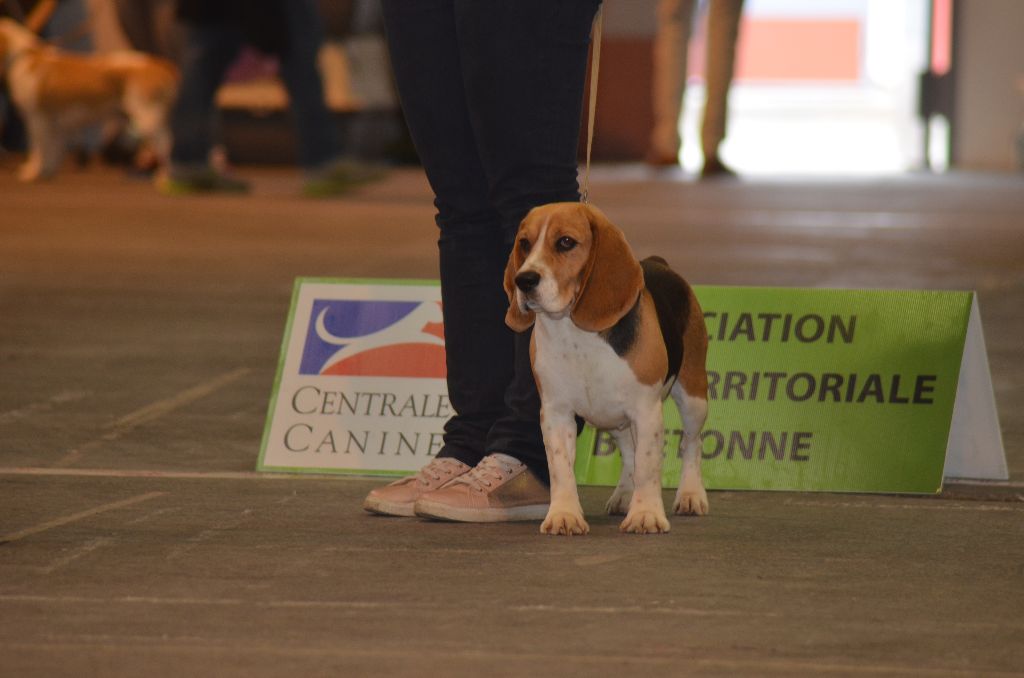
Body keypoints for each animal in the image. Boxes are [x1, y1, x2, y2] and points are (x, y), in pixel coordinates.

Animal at [0, 18, 178, 182]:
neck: (23, 57)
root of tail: (158, 64)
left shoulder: (37, 118)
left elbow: (38, 149)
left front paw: (32, 171)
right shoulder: (55, 125)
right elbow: (53, 150)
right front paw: (49, 170)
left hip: (147, 117)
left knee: (166, 144)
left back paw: (165, 177)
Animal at [505, 201, 712, 536]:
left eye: (566, 242)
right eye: (524, 243)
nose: (524, 280)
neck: (576, 332)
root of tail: (657, 262)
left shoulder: (646, 410)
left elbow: (648, 465)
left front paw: (646, 514)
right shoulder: (555, 413)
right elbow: (561, 469)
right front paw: (564, 514)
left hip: (693, 395)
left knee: (691, 443)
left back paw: (691, 494)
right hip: (614, 419)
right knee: (628, 454)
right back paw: (624, 495)